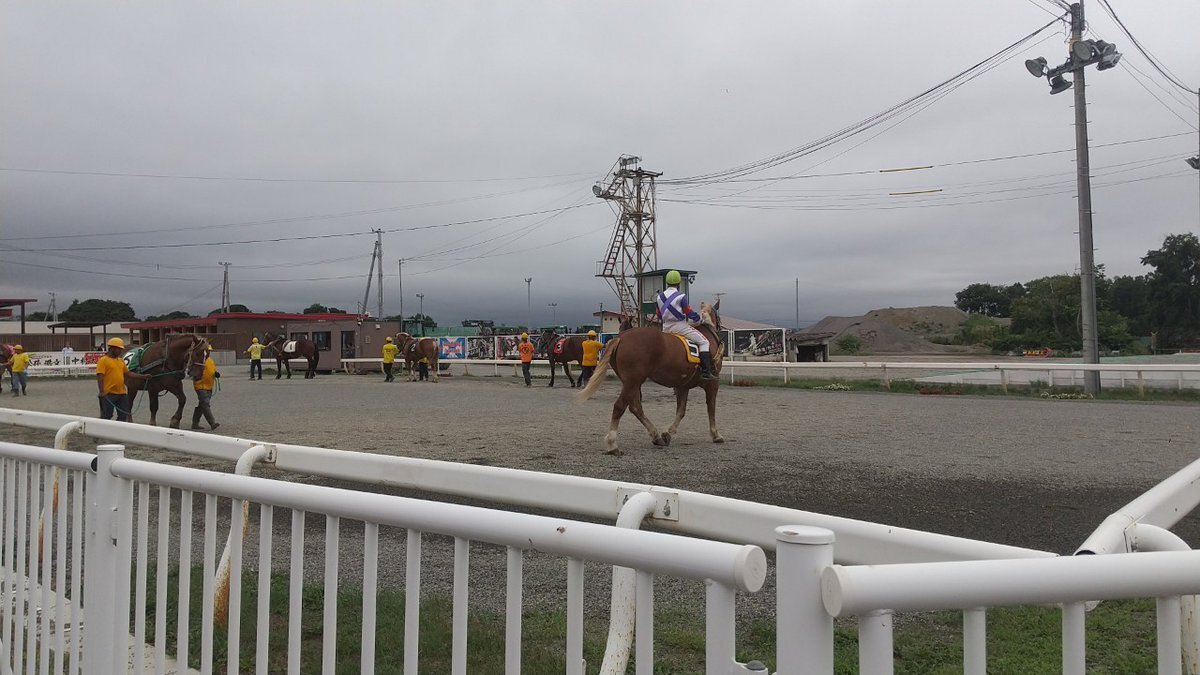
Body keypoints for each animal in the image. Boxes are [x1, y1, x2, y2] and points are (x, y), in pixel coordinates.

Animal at [577, 301, 725, 456]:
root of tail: (620, 337)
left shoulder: (682, 385)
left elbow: (681, 411)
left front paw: (667, 433)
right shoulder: (713, 383)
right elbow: (711, 407)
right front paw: (716, 434)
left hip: (632, 383)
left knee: (636, 407)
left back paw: (656, 436)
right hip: (632, 382)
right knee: (620, 406)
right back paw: (612, 444)